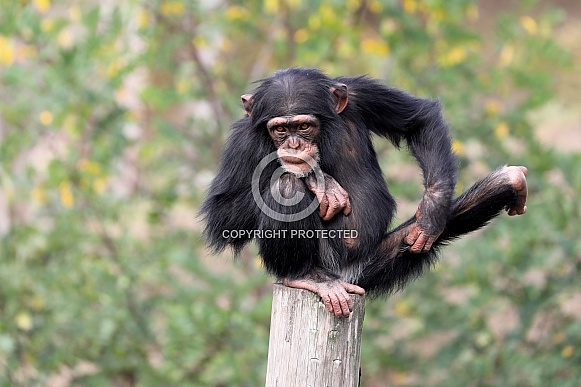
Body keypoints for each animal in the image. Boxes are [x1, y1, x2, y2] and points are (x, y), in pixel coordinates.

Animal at [202, 69, 528, 318]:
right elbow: (223, 215)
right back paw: (305, 276)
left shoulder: (360, 93)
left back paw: (507, 183)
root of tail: (344, 276)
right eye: (280, 130)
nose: (293, 145)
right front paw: (319, 180)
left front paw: (432, 212)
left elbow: (418, 120)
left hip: (372, 263)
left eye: (304, 126)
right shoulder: (243, 140)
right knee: (287, 188)